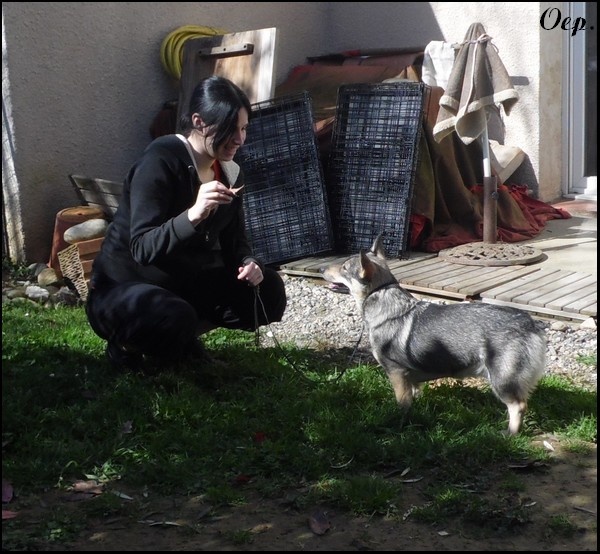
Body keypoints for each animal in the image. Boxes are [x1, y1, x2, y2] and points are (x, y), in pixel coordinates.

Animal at [322, 235, 548, 434]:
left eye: (344, 268)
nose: (323, 268)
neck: (382, 296)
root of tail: (530, 324)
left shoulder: (396, 373)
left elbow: (402, 405)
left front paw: (399, 425)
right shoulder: (410, 378)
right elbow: (413, 395)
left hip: (502, 380)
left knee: (518, 406)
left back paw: (509, 434)